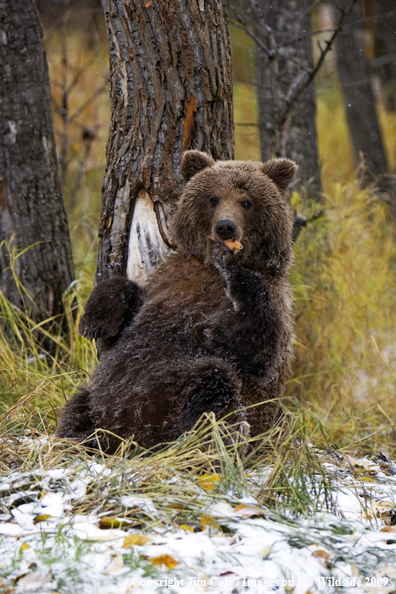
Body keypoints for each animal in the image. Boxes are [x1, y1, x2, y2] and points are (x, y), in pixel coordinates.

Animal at [56, 150, 296, 450]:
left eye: (247, 201)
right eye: (213, 198)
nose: (225, 227)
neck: (208, 266)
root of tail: (129, 437)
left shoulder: (275, 298)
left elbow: (255, 350)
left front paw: (235, 274)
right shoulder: (167, 282)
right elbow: (119, 323)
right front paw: (94, 322)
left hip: (184, 394)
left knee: (212, 385)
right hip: (98, 403)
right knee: (78, 406)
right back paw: (78, 438)